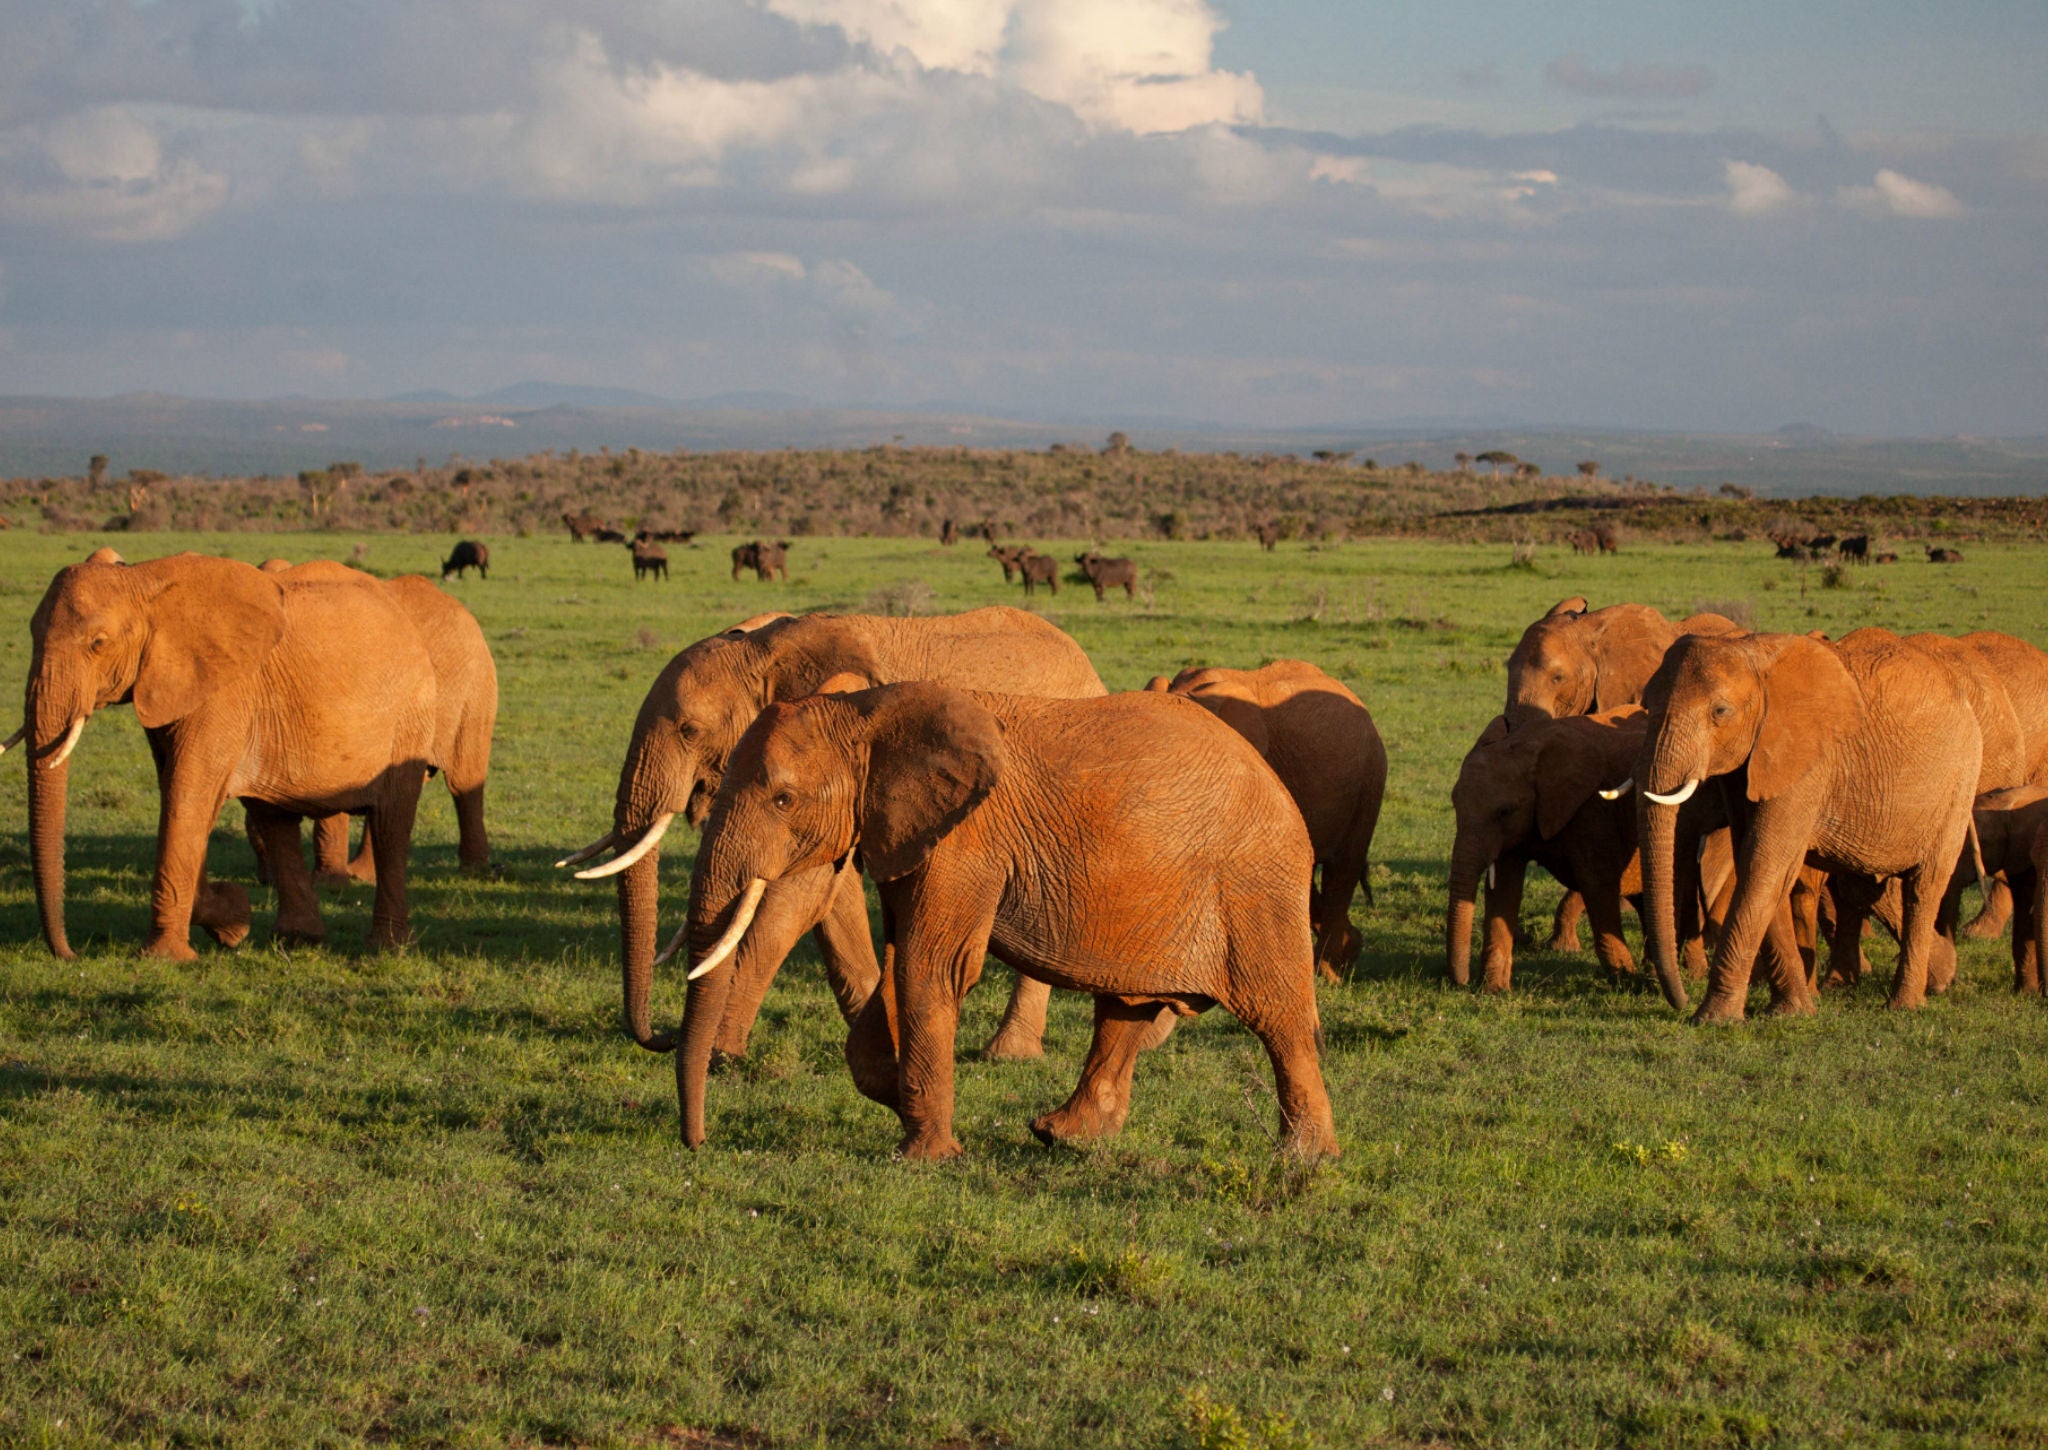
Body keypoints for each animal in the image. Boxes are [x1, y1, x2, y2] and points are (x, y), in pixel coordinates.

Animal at [18, 548, 436, 958]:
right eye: (31, 634)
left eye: (98, 643)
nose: (69, 954)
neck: (143, 579)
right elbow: (177, 792)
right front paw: (233, 921)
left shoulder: (223, 693)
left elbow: (187, 797)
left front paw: (168, 955)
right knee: (276, 821)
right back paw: (298, 939)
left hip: (408, 720)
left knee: (390, 824)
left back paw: (387, 946)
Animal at [552, 606, 1114, 1138]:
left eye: (690, 731)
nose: (661, 1038)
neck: (765, 648)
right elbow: (829, 897)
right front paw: (879, 1031)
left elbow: (794, 898)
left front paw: (722, 1055)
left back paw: (1006, 1054)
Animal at [679, 684, 1335, 1163]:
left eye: (783, 800)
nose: (699, 1144)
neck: (867, 711)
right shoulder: (908, 835)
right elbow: (902, 961)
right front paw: (895, 1091)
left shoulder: (966, 841)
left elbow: (932, 966)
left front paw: (925, 1156)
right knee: (1125, 1010)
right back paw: (1060, 1135)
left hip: (1255, 888)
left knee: (1279, 1018)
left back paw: (1306, 1158)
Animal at [1630, 630, 1982, 1019]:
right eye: (1646, 707)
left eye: (1720, 712)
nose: (1680, 1001)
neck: (1753, 653)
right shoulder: (1751, 762)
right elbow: (1759, 863)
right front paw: (1794, 1011)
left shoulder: (1808, 763)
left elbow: (1765, 863)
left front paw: (1713, 1018)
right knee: (1863, 886)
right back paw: (1937, 975)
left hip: (1959, 781)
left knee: (1924, 886)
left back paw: (1904, 1004)